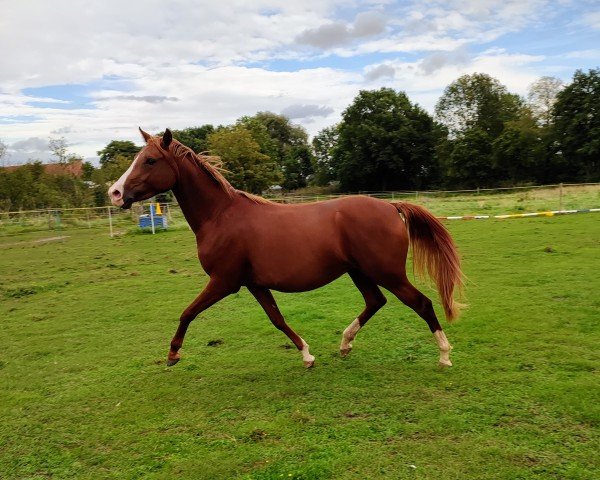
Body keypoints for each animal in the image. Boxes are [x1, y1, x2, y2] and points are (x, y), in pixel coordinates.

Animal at [109, 127, 464, 368]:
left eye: (150, 160)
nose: (114, 193)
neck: (221, 216)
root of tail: (391, 207)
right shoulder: (253, 284)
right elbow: (277, 319)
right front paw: (307, 355)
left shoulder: (223, 282)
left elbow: (188, 312)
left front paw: (173, 353)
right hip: (359, 272)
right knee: (376, 302)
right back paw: (345, 345)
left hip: (386, 272)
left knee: (422, 303)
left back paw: (445, 355)